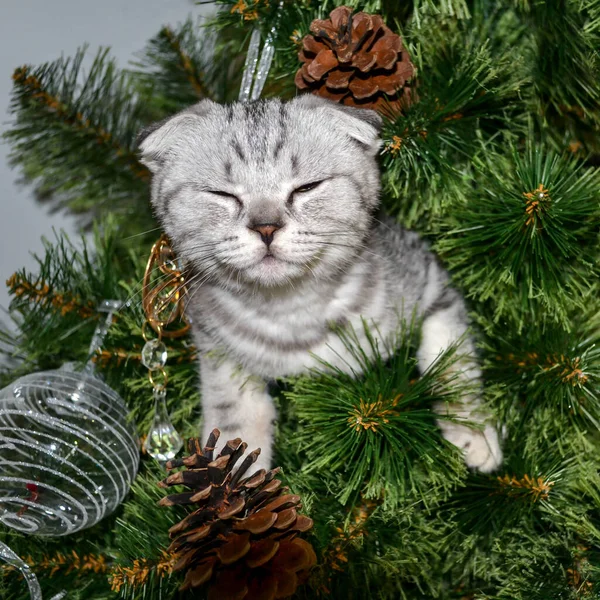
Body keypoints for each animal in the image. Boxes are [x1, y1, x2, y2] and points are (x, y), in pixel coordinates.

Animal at [139, 95, 502, 474]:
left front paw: (472, 430)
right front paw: (232, 483)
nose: (266, 228)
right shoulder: (216, 346)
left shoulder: (430, 279)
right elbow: (233, 419)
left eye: (306, 188)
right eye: (222, 194)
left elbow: (452, 358)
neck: (293, 313)